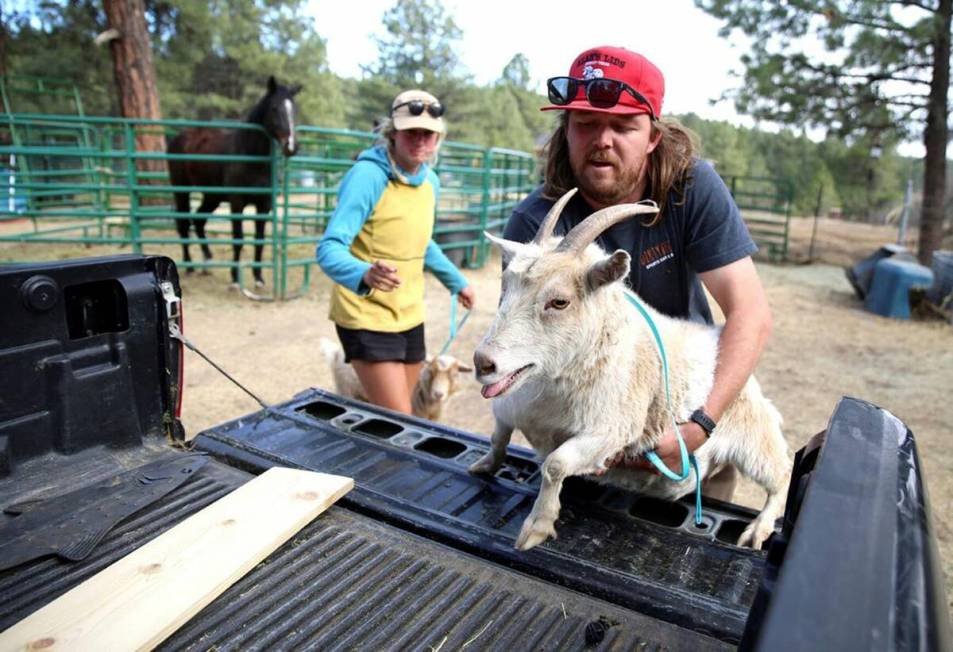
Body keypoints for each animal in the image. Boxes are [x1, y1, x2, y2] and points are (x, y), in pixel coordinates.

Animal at [167, 75, 302, 292]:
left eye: (294, 109)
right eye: (274, 107)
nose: (291, 146)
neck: (250, 156)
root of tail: (179, 137)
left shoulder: (264, 205)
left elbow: (259, 240)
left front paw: (258, 278)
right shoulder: (237, 203)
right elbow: (238, 239)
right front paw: (235, 279)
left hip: (211, 197)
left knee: (198, 220)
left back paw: (207, 262)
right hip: (181, 190)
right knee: (183, 224)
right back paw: (189, 265)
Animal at [468, 191, 788, 552]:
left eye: (559, 302)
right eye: (504, 285)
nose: (484, 362)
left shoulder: (613, 431)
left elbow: (556, 464)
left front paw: (537, 527)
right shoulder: (509, 405)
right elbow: (498, 436)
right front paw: (483, 466)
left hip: (755, 437)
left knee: (780, 474)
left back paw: (757, 531)